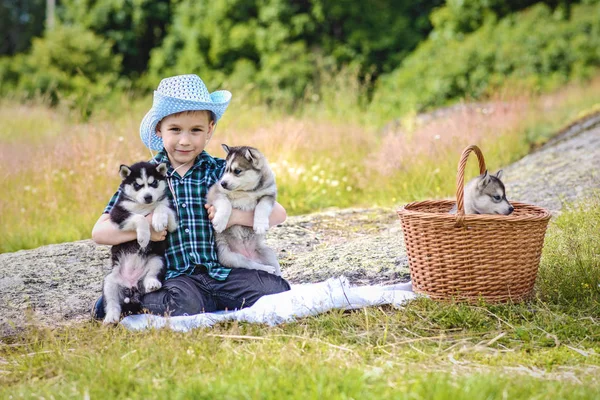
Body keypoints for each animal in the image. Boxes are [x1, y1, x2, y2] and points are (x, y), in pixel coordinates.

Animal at [102, 161, 177, 324]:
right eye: (137, 185)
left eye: (154, 183)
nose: (148, 197)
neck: (144, 206)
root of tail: (132, 285)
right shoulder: (118, 213)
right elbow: (139, 217)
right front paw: (143, 236)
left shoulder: (173, 220)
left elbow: (161, 206)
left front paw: (158, 220)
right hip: (109, 281)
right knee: (112, 303)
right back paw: (111, 317)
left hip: (157, 260)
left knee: (151, 275)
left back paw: (152, 283)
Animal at [206, 145, 282, 276]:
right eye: (226, 170)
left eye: (237, 171)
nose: (223, 183)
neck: (247, 191)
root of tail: (249, 255)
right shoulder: (216, 192)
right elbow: (226, 204)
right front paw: (220, 222)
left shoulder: (269, 195)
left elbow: (262, 207)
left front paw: (260, 225)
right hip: (229, 256)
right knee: (251, 265)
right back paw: (266, 269)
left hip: (268, 252)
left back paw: (272, 270)